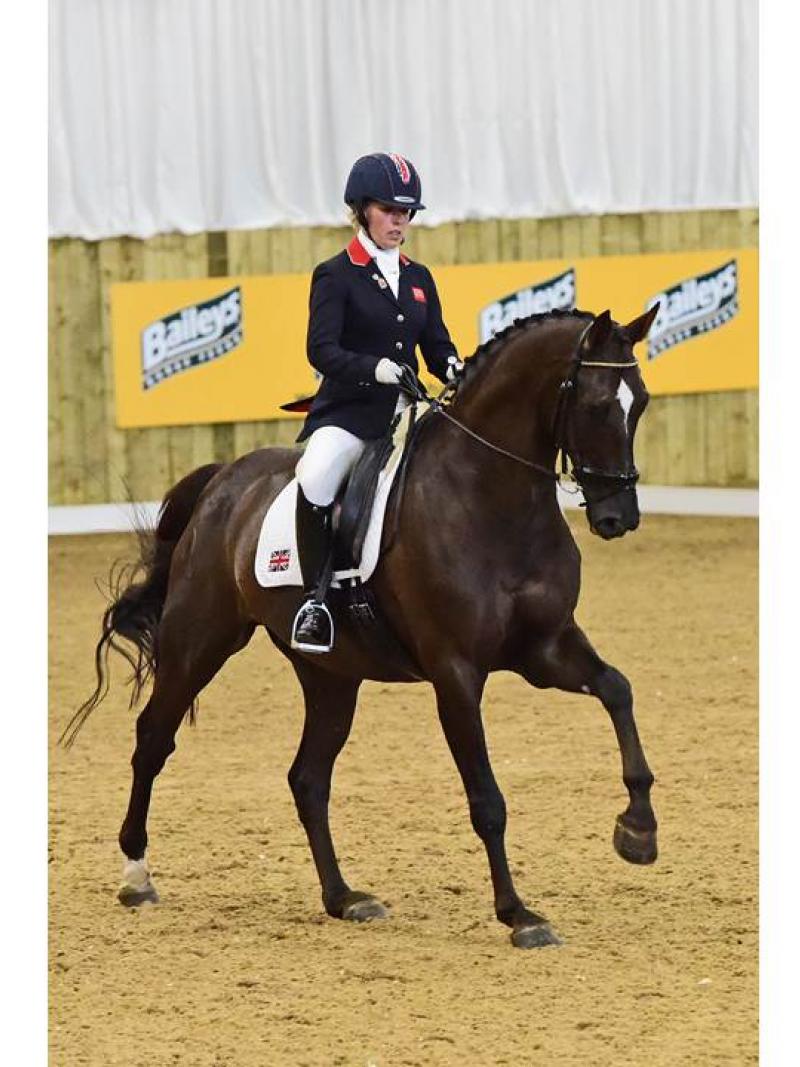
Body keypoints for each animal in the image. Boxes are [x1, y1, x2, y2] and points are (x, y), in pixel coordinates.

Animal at [63, 305, 660, 949]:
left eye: (641, 402)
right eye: (597, 405)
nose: (617, 518)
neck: (493, 500)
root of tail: (225, 478)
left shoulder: (545, 648)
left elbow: (618, 689)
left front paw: (637, 832)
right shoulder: (456, 673)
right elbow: (487, 800)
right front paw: (518, 914)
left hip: (330, 675)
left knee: (307, 777)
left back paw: (343, 898)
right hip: (199, 641)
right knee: (154, 739)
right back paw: (136, 876)